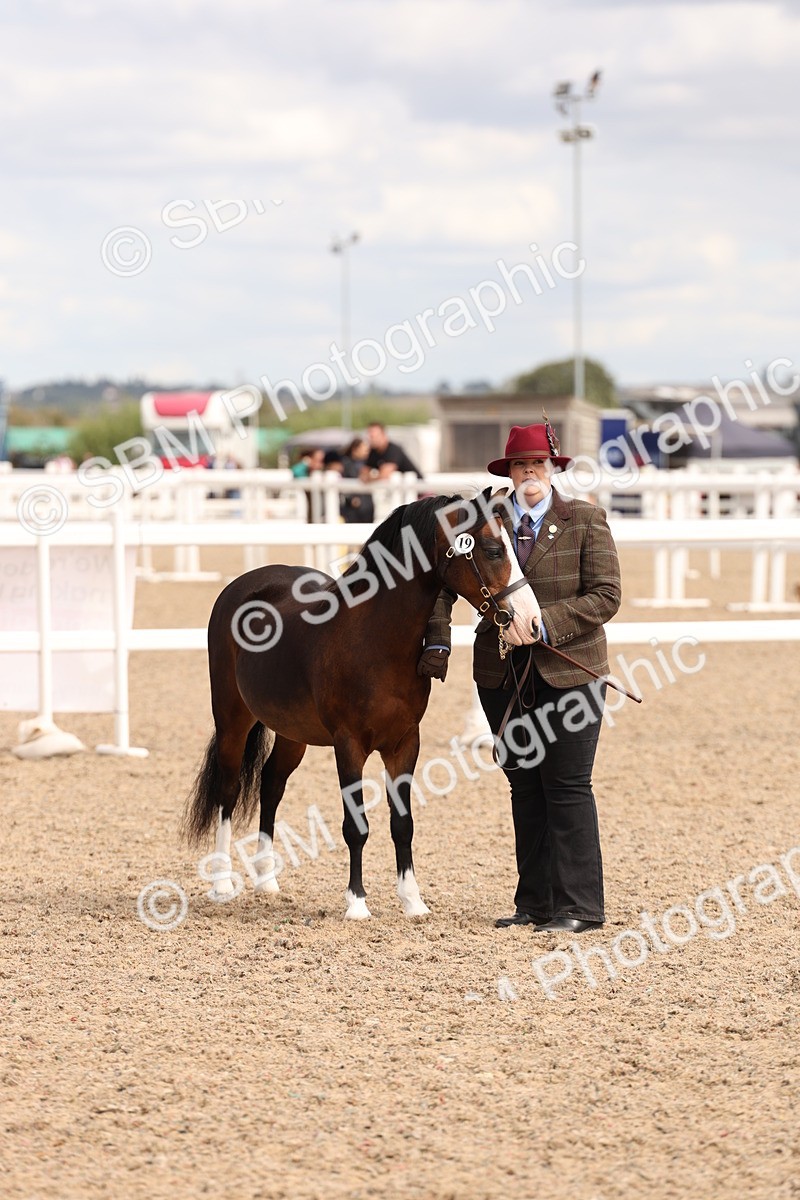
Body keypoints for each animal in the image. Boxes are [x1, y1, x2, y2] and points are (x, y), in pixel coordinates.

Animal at [183, 491, 541, 919]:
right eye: (491, 549)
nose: (532, 624)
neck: (374, 637)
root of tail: (242, 587)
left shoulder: (404, 744)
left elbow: (403, 824)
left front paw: (412, 901)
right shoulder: (348, 744)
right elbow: (356, 826)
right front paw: (356, 902)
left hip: (292, 734)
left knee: (271, 785)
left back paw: (267, 879)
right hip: (232, 719)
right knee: (229, 789)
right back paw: (222, 882)